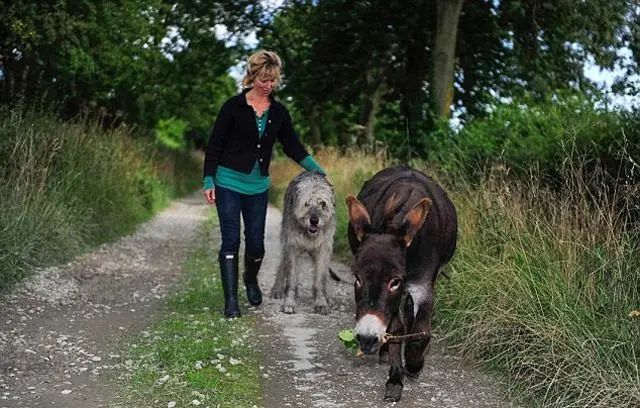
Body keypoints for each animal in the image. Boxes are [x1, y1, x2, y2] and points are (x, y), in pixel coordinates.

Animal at [270, 171, 338, 314]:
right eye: (306, 203)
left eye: (323, 203)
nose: (314, 221)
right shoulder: (293, 247)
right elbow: (291, 279)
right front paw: (289, 302)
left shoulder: (323, 250)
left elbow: (320, 279)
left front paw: (321, 302)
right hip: (286, 241)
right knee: (282, 264)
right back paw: (277, 288)